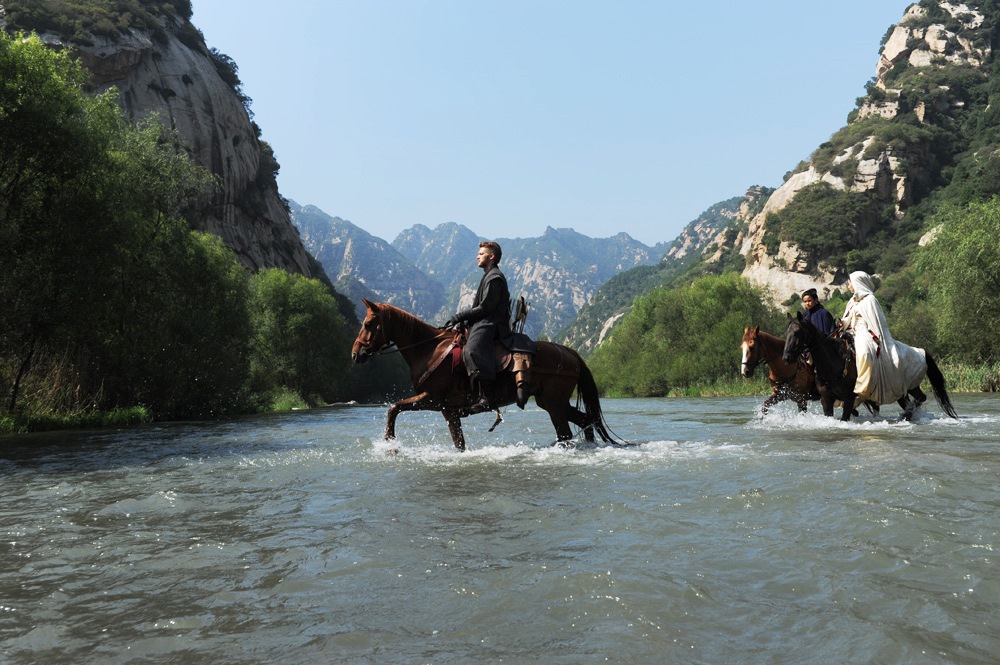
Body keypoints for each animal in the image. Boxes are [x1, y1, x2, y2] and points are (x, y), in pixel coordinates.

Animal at [350, 300, 616, 452]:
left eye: (370, 323)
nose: (356, 353)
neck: (429, 349)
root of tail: (571, 353)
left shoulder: (434, 401)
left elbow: (394, 408)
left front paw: (390, 443)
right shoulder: (448, 410)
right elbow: (459, 443)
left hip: (553, 404)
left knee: (567, 433)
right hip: (555, 403)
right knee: (585, 420)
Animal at [776, 312, 956, 420]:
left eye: (797, 333)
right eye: (786, 333)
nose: (786, 357)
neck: (834, 362)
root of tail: (921, 352)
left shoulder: (849, 398)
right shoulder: (826, 399)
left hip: (911, 385)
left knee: (920, 398)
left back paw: (908, 414)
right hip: (901, 390)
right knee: (911, 400)